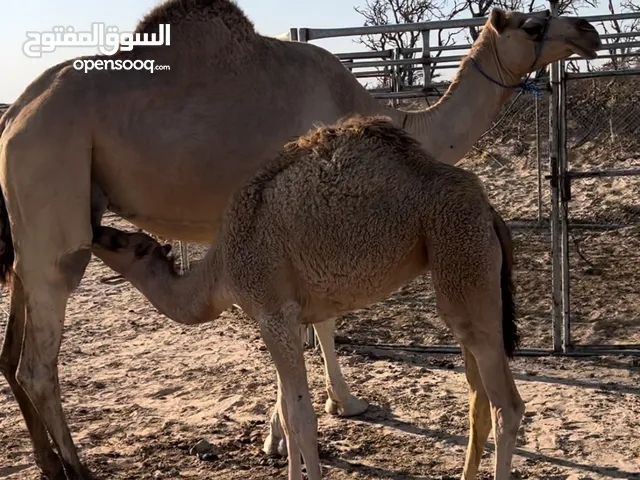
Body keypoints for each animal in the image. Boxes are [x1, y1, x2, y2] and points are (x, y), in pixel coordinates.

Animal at [0, 0, 600, 476]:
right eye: (534, 24)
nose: (590, 30)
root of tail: (14, 117)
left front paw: (300, 423)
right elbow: (323, 329)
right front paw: (332, 409)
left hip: (31, 227)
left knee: (15, 347)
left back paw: (47, 460)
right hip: (55, 200)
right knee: (39, 362)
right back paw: (75, 467)